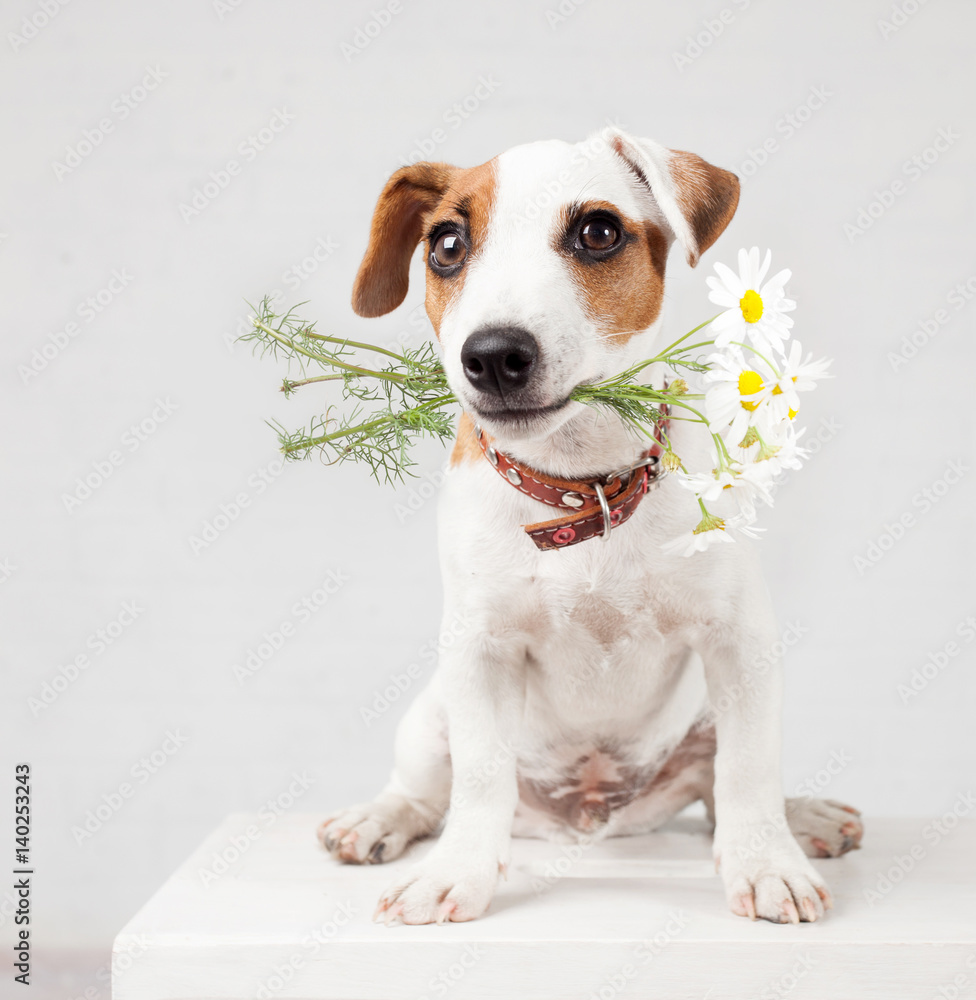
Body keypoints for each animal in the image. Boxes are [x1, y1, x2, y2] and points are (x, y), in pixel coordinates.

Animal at [318, 129, 860, 924]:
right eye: (446, 244)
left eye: (598, 233)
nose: (493, 355)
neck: (583, 488)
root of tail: (592, 816)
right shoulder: (478, 652)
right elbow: (479, 776)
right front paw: (456, 873)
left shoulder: (740, 641)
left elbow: (749, 770)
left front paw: (767, 864)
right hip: (431, 713)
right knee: (424, 788)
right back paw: (378, 818)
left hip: (705, 716)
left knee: (716, 787)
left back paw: (804, 818)